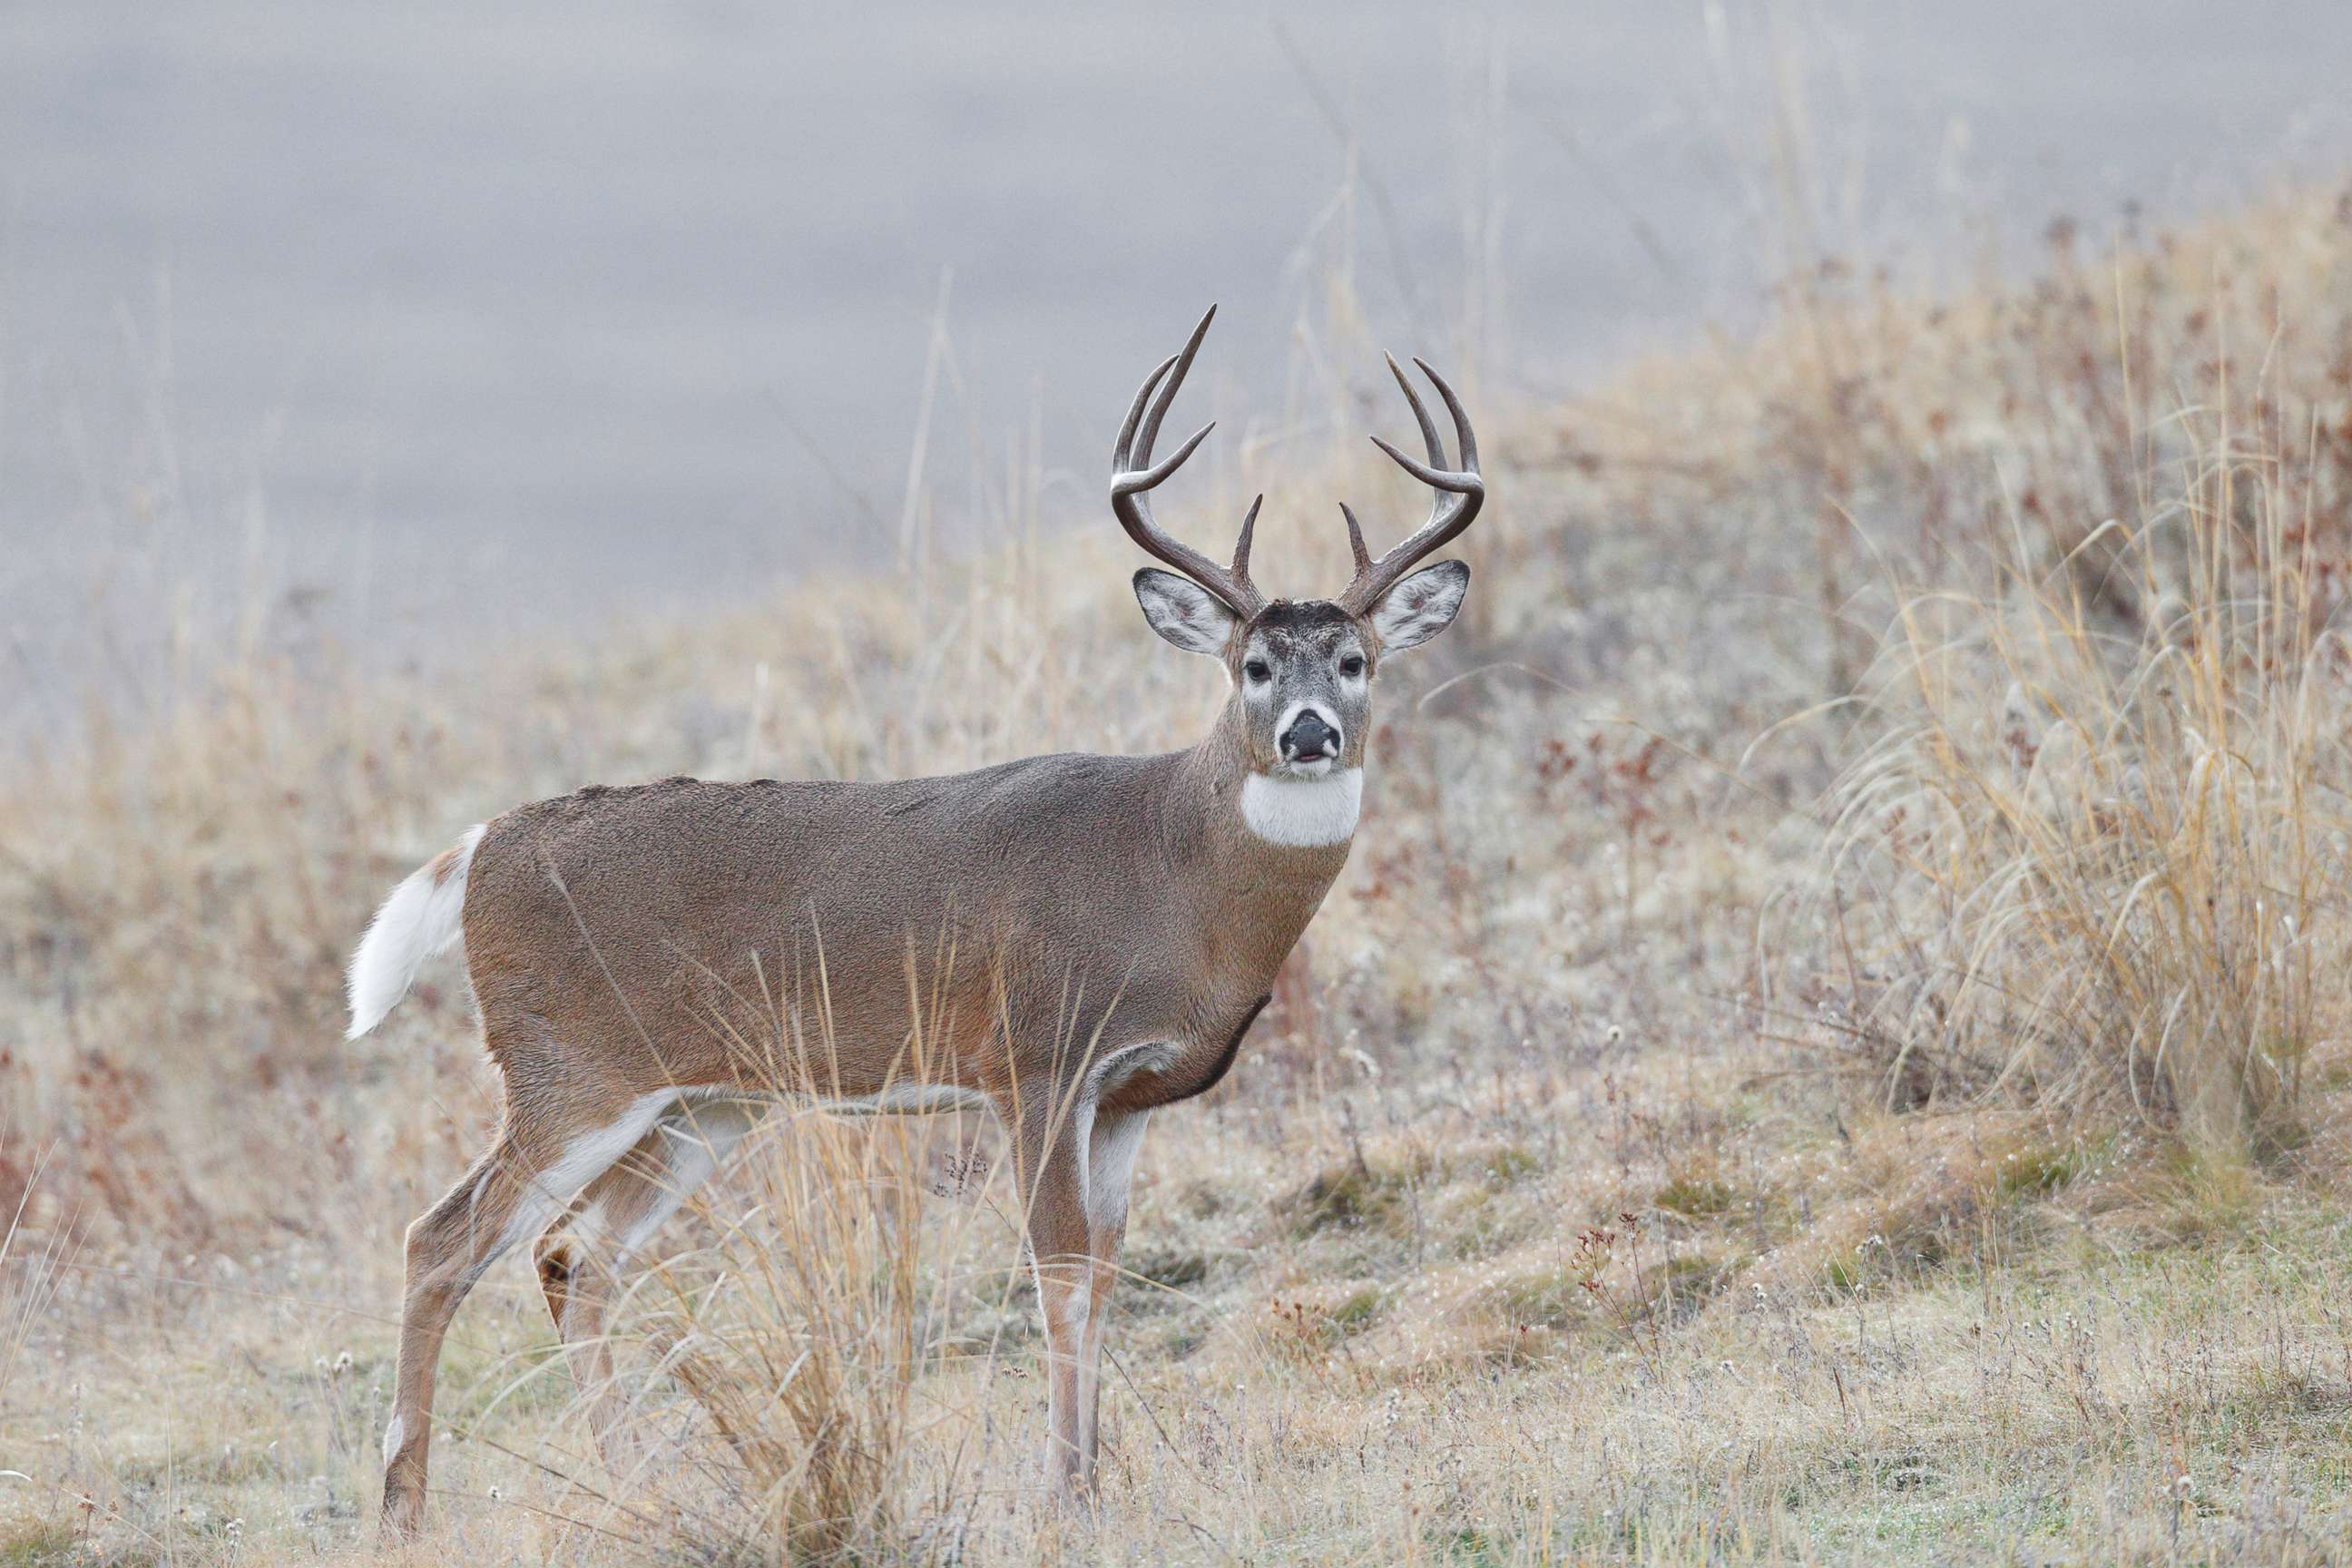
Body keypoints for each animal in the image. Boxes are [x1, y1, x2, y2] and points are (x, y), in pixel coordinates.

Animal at [343, 297, 1486, 1533]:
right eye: (1254, 664)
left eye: (1356, 660)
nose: (1309, 733)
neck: (1176, 877)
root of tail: (479, 848)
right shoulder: (1036, 1058)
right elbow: (1057, 1271)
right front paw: (1065, 1489)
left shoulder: (1130, 1096)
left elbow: (1104, 1272)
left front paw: (1095, 1475)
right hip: (569, 1069)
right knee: (441, 1239)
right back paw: (404, 1509)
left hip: (701, 1103)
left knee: (575, 1255)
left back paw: (637, 1486)